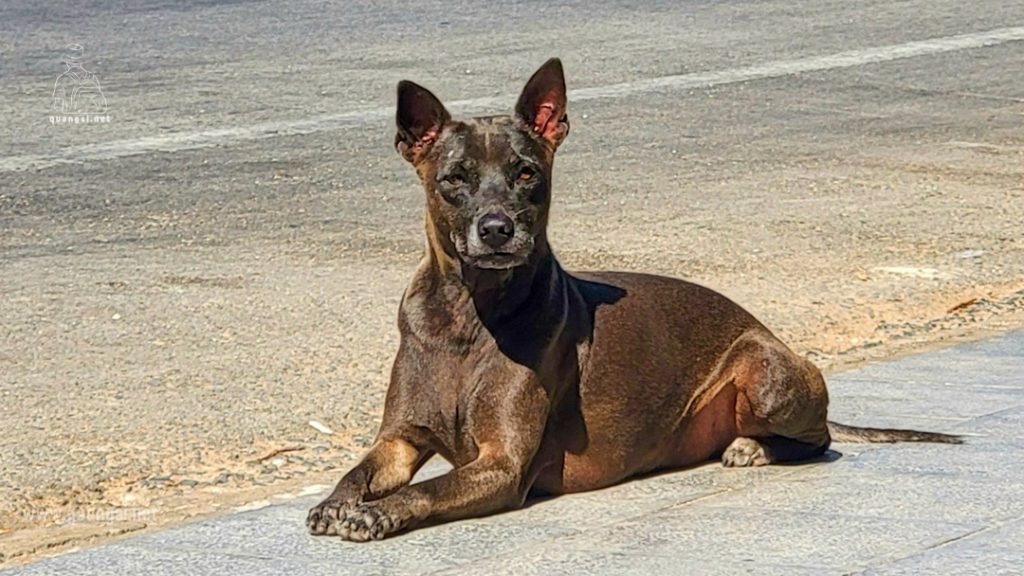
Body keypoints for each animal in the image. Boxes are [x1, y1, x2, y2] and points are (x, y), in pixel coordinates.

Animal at [305, 57, 958, 537]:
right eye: (454, 179)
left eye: (525, 173)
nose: (496, 229)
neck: (470, 315)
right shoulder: (399, 440)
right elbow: (360, 469)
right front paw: (341, 501)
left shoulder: (501, 465)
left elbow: (430, 487)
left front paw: (378, 512)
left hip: (764, 370)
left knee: (818, 440)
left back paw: (755, 447)